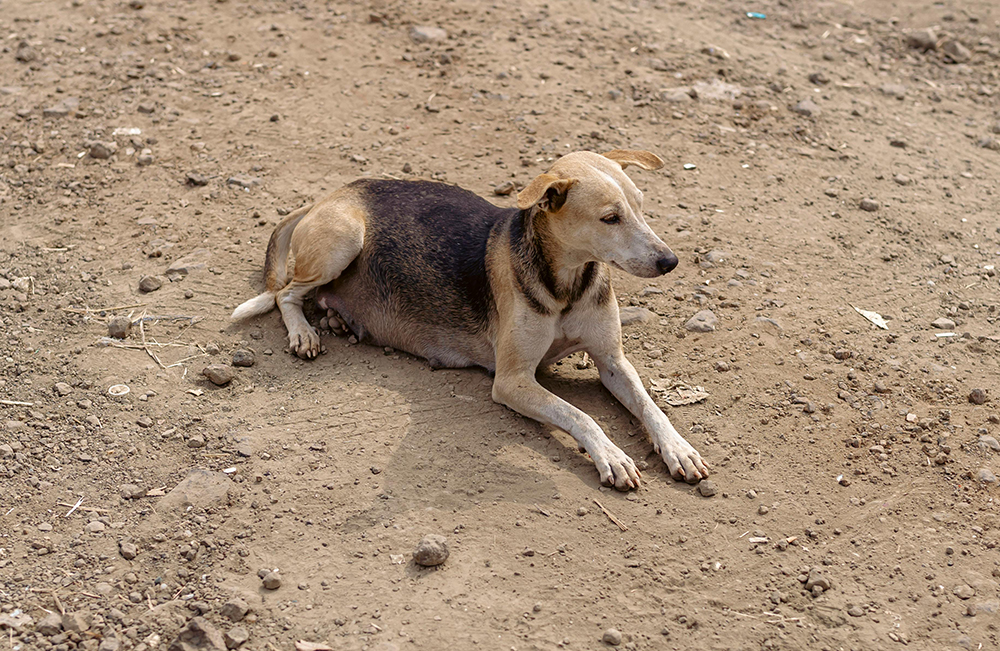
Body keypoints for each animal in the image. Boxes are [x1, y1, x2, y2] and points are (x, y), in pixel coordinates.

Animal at [230, 150, 708, 488]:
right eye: (610, 218)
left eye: (642, 207)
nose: (670, 261)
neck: (566, 285)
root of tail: (327, 196)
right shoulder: (512, 381)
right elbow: (579, 414)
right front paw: (611, 455)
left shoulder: (612, 362)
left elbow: (651, 407)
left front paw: (679, 449)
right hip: (343, 239)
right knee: (284, 294)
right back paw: (304, 333)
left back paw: (336, 320)